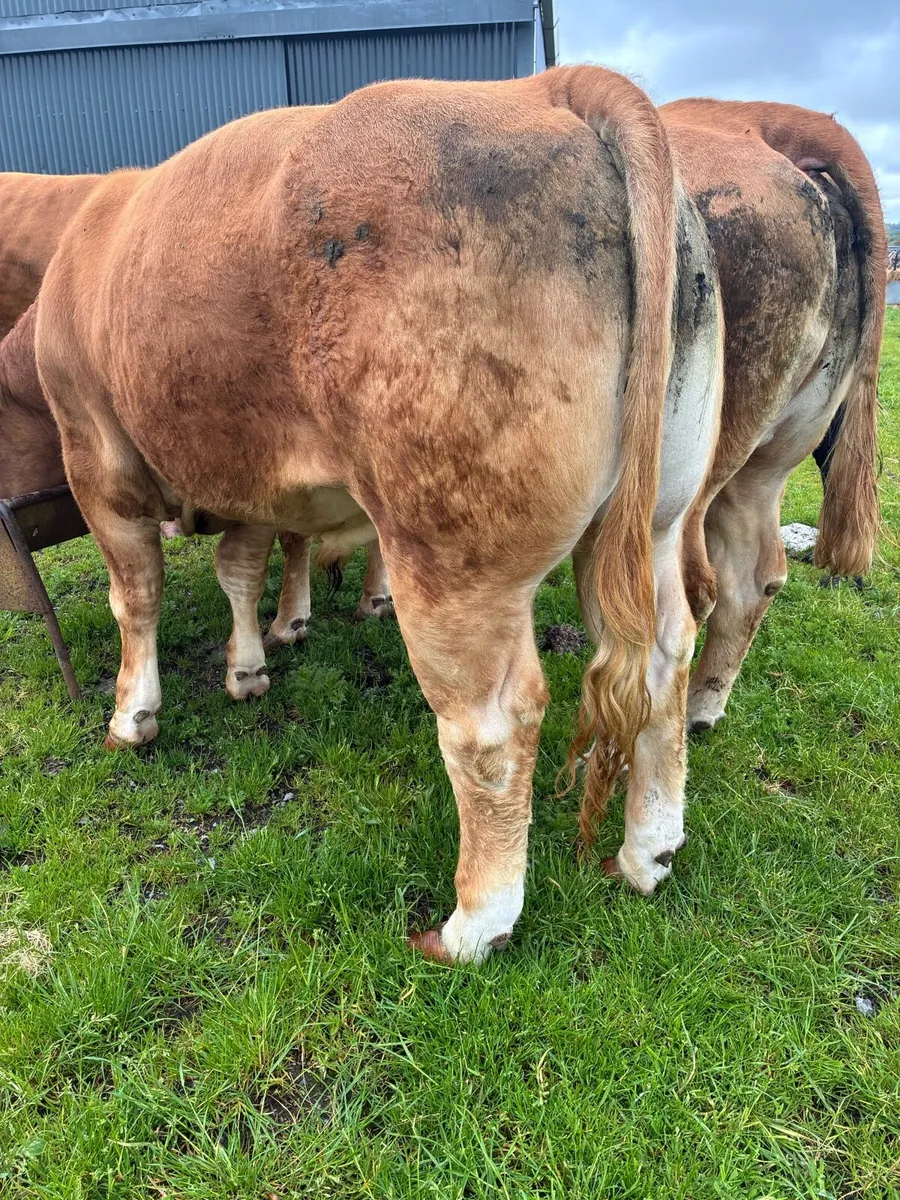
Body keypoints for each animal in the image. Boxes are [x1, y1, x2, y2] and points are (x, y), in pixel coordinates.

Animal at [34, 66, 724, 961]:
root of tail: (549, 86)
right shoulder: (250, 473)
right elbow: (240, 569)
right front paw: (249, 666)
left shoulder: (97, 456)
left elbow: (136, 597)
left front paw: (132, 714)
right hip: (660, 517)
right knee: (665, 654)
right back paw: (650, 850)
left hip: (447, 554)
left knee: (490, 726)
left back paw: (472, 925)